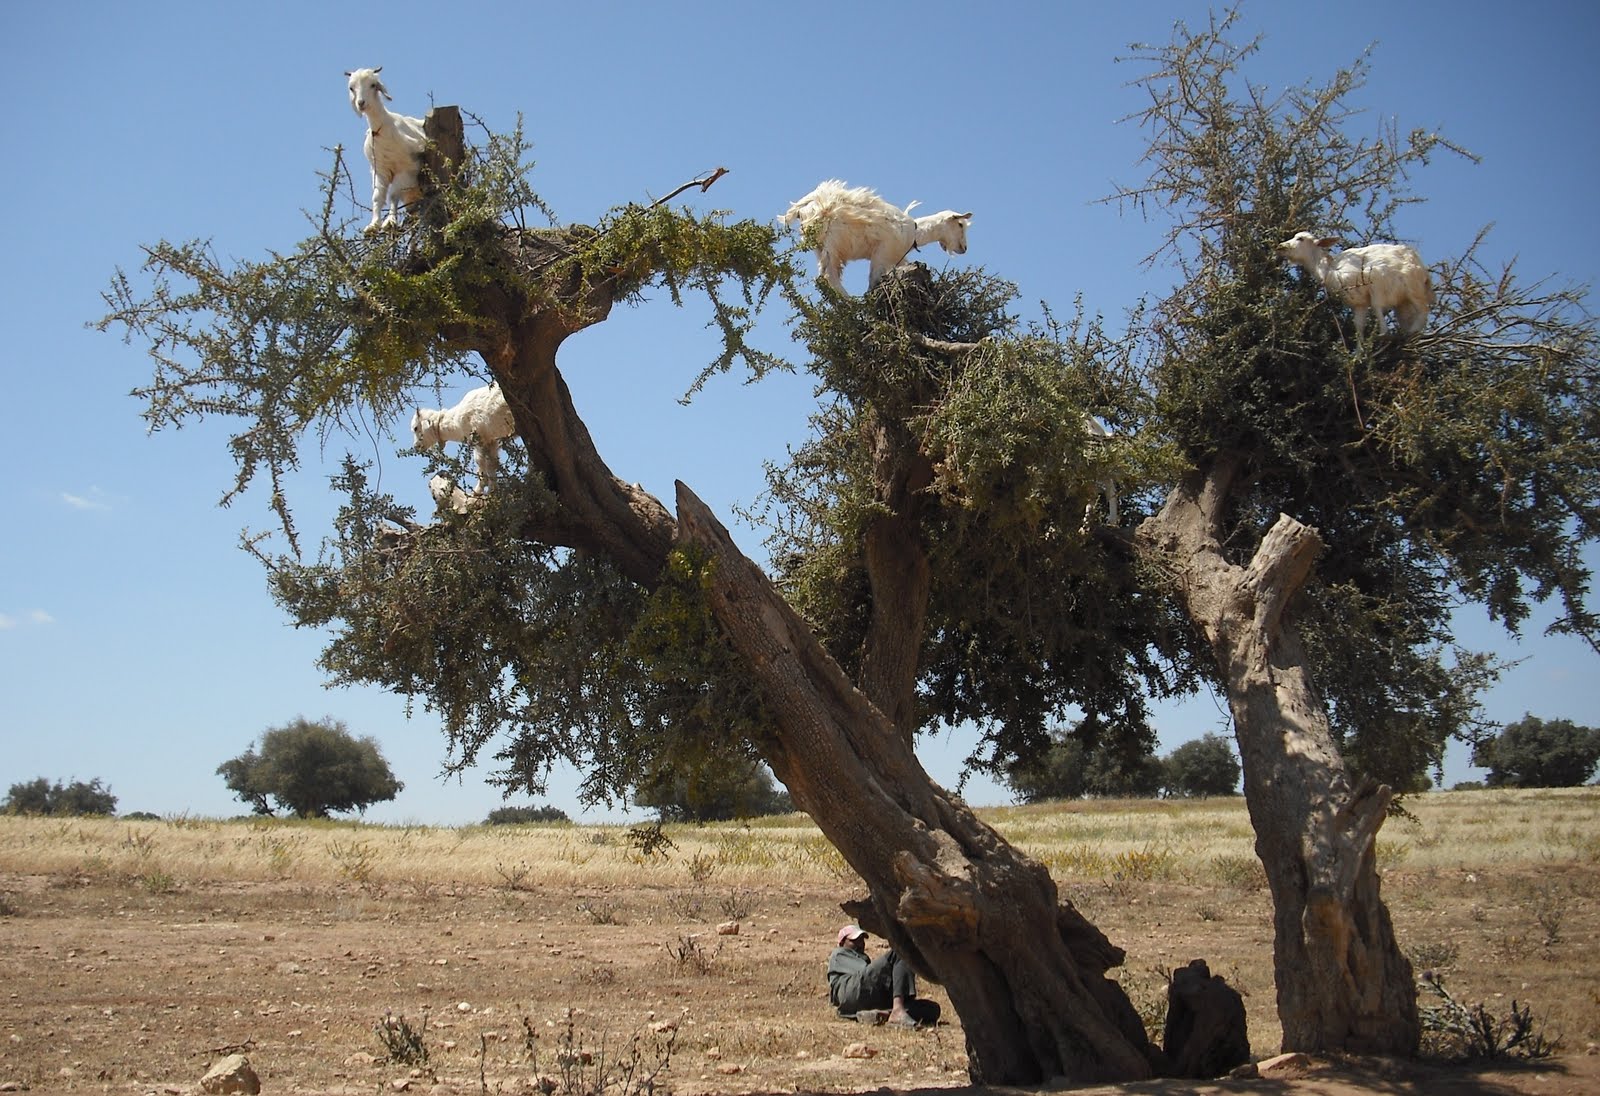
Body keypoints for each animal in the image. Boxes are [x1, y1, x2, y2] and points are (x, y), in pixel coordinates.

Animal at [345, 66, 428, 232]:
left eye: (373, 85)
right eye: (352, 87)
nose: (361, 103)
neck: (382, 128)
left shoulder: (406, 169)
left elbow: (393, 195)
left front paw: (390, 221)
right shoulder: (380, 170)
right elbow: (377, 197)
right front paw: (373, 225)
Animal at [779, 179, 971, 292]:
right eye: (960, 224)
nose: (964, 248)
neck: (914, 232)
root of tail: (807, 205)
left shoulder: (896, 260)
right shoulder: (882, 255)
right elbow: (873, 282)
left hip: (820, 247)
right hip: (832, 242)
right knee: (829, 276)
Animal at [1276, 231, 1433, 335]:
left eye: (1300, 239)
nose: (1280, 246)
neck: (1330, 269)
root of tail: (1421, 267)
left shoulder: (1376, 285)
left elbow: (1377, 309)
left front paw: (1382, 335)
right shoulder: (1359, 304)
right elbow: (1358, 326)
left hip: (1414, 290)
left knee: (1423, 311)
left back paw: (1412, 332)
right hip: (1403, 303)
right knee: (1410, 318)